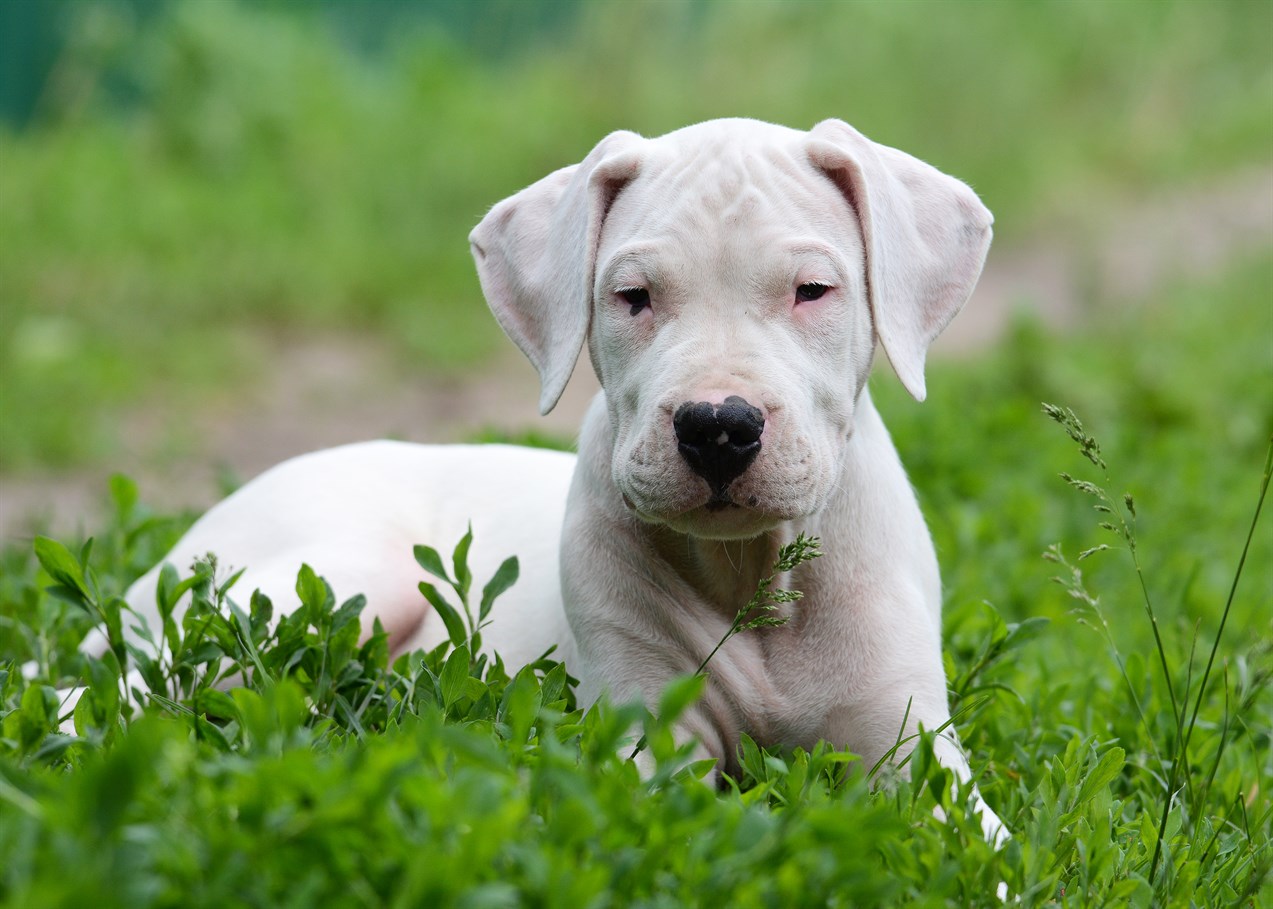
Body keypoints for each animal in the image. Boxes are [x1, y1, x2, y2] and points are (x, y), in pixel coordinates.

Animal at [112, 117, 1003, 840]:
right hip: (339, 573)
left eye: (812, 290)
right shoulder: (648, 735)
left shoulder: (909, 750)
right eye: (633, 297)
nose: (717, 426)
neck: (748, 571)